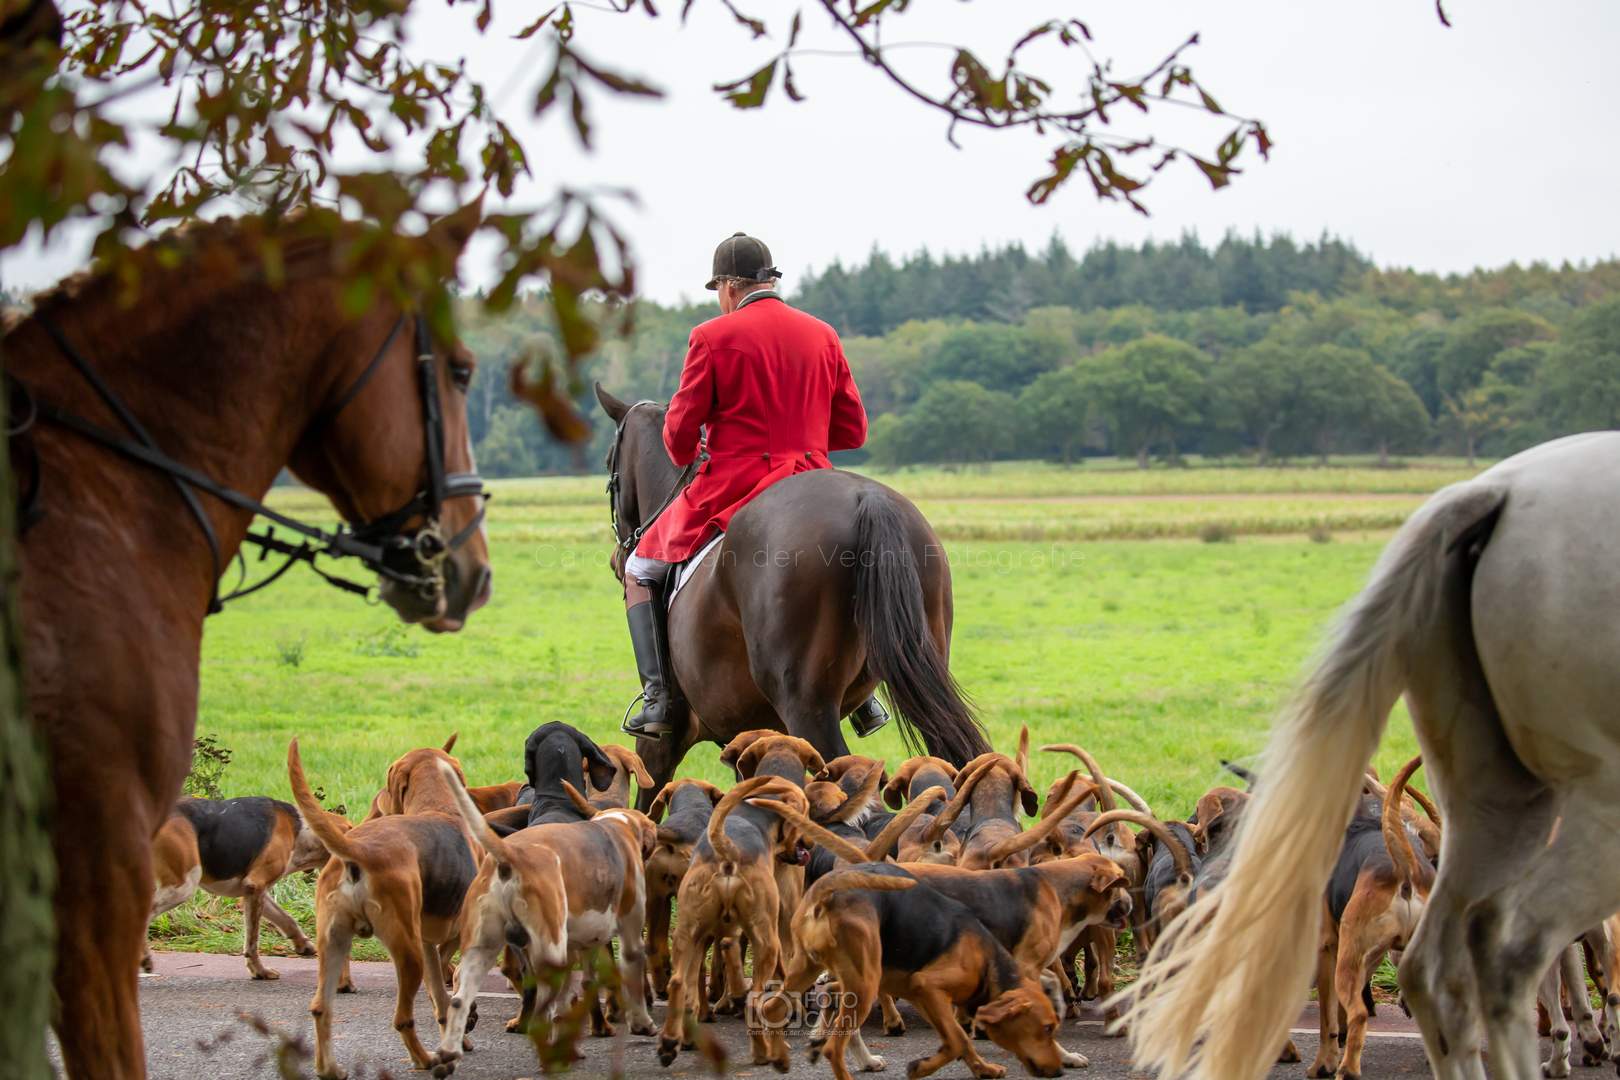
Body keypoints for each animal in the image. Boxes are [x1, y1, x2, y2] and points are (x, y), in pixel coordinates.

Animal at [144, 795, 351, 978]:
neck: (300, 830)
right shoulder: (256, 885)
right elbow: (252, 941)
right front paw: (260, 971)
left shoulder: (255, 891)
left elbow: (286, 919)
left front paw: (303, 944)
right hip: (183, 885)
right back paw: (144, 957)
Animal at [288, 738, 479, 1079]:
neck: (441, 806)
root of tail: (358, 850)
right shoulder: (455, 938)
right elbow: (450, 989)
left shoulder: (429, 943)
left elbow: (441, 996)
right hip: (408, 953)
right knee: (402, 1018)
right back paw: (426, 1060)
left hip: (334, 943)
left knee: (321, 1008)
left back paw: (329, 1069)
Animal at [432, 763, 659, 1073]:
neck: (614, 826)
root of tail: (509, 855)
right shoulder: (630, 938)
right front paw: (643, 1024)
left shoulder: (581, 945)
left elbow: (577, 993)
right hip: (547, 954)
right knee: (539, 1014)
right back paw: (549, 1058)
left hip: (483, 950)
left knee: (459, 1001)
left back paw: (449, 1054)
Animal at [594, 385, 988, 812]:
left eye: (609, 466)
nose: (618, 558)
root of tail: (867, 499)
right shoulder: (753, 736)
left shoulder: (666, 739)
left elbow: (647, 800)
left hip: (807, 706)